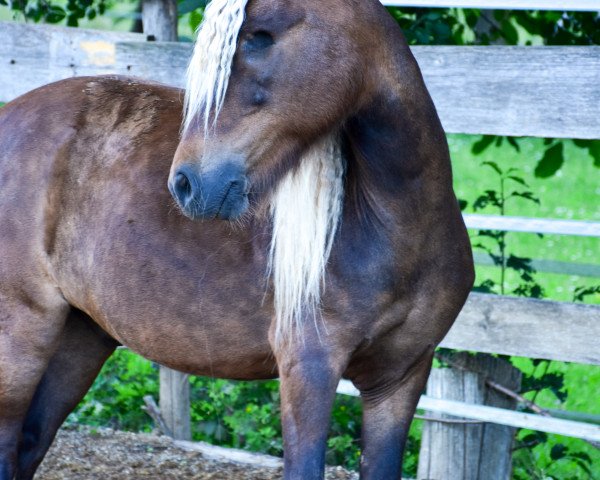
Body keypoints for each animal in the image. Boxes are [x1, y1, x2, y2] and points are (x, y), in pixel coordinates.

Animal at [0, 0, 476, 476]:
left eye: (260, 38)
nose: (186, 183)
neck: (397, 229)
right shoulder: (309, 371)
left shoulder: (400, 380)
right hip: (23, 336)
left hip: (81, 334)